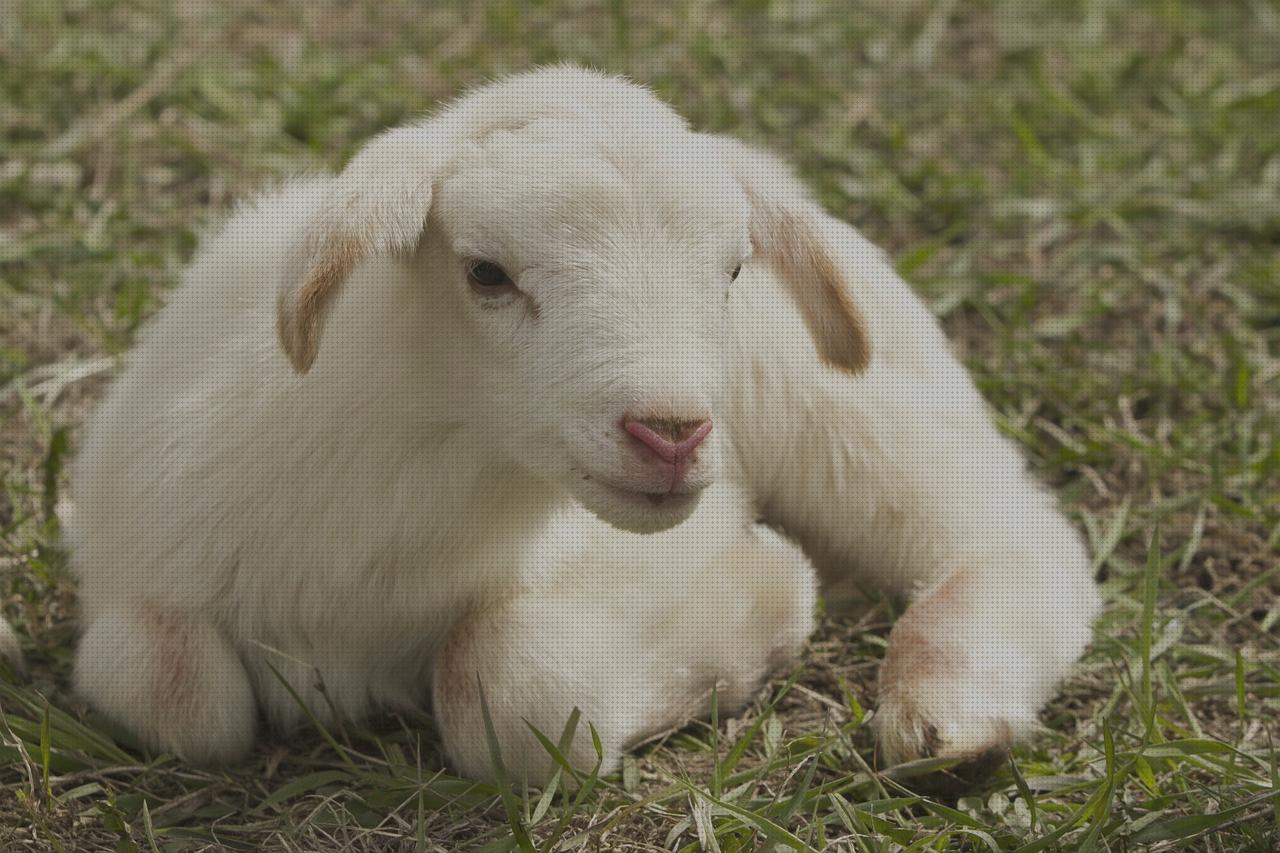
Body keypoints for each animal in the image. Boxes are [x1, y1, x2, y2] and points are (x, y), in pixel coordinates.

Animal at [15, 66, 1100, 778]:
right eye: (486, 272)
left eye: (733, 270)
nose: (671, 431)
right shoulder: (142, 567)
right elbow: (170, 685)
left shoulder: (650, 549)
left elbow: (507, 688)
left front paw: (761, 609)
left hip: (845, 406)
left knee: (1010, 533)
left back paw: (946, 712)